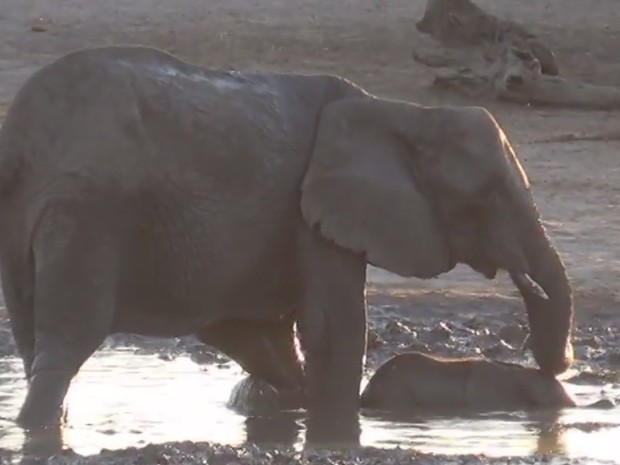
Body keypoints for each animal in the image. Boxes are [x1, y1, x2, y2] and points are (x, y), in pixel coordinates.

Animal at [0, 45, 572, 444]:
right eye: (488, 194)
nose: (551, 367)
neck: (401, 113)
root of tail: (20, 136)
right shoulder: (317, 214)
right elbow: (332, 328)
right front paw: (336, 429)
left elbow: (257, 332)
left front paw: (291, 408)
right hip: (86, 212)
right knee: (67, 342)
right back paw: (38, 430)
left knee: (31, 336)